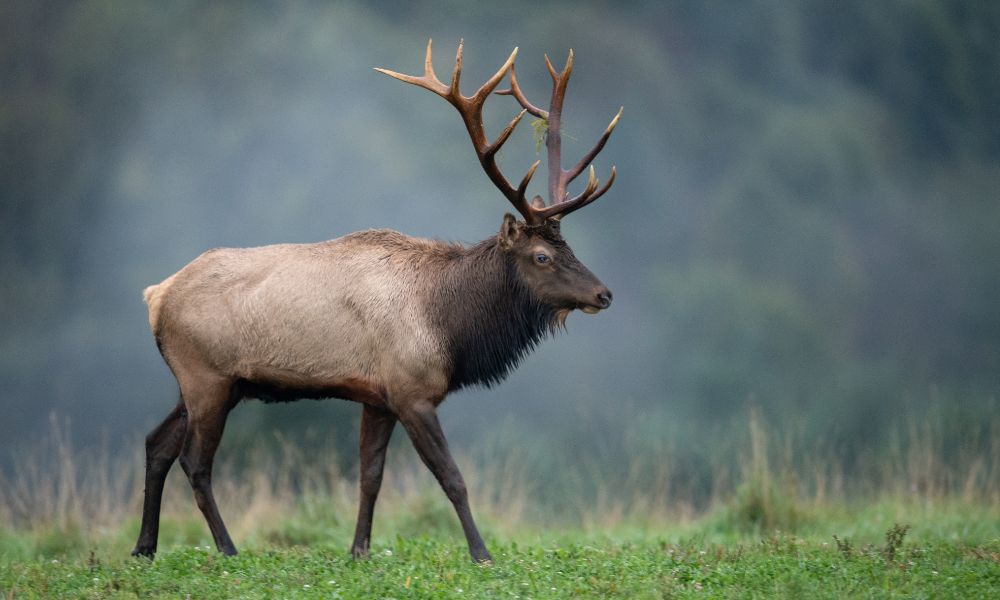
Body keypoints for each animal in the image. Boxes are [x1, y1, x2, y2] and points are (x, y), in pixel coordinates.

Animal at [130, 41, 620, 564]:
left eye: (570, 248)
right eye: (542, 255)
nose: (603, 293)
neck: (449, 325)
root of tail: (156, 295)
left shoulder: (377, 397)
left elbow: (370, 476)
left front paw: (359, 549)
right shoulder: (412, 390)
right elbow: (452, 478)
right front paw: (481, 552)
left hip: (203, 382)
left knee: (156, 444)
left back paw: (145, 547)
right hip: (208, 377)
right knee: (195, 461)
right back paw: (226, 548)